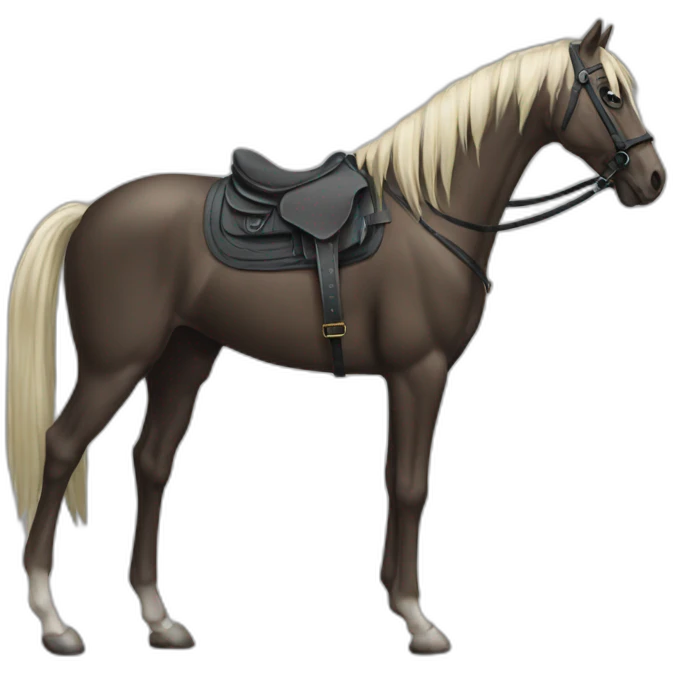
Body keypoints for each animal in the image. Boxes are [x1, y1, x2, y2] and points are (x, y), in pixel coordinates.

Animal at [5, 18, 665, 657]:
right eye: (610, 95)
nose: (655, 179)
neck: (430, 209)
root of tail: (89, 213)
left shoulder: (406, 378)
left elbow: (396, 477)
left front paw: (395, 596)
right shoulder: (420, 372)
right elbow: (410, 485)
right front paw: (417, 619)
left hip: (183, 358)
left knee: (151, 462)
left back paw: (159, 617)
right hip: (114, 364)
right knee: (61, 447)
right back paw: (51, 619)